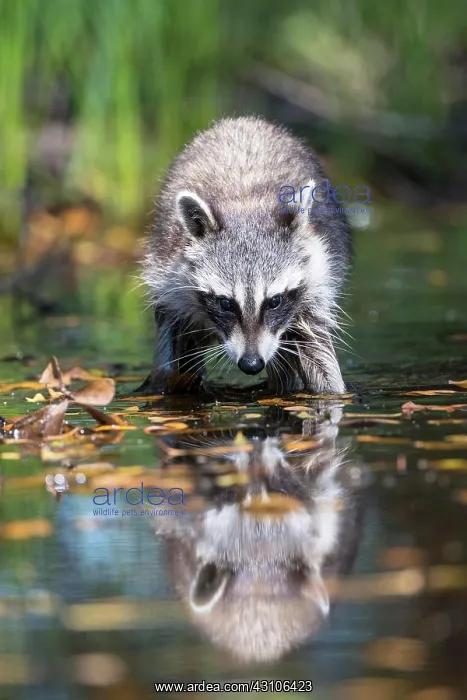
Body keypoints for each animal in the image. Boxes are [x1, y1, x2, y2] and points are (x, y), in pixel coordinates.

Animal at [142, 116, 351, 395]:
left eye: (274, 301)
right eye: (225, 303)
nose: (251, 364)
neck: (245, 206)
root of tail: (243, 120)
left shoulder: (314, 286)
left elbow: (317, 354)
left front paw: (331, 392)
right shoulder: (168, 279)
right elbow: (171, 348)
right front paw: (162, 384)